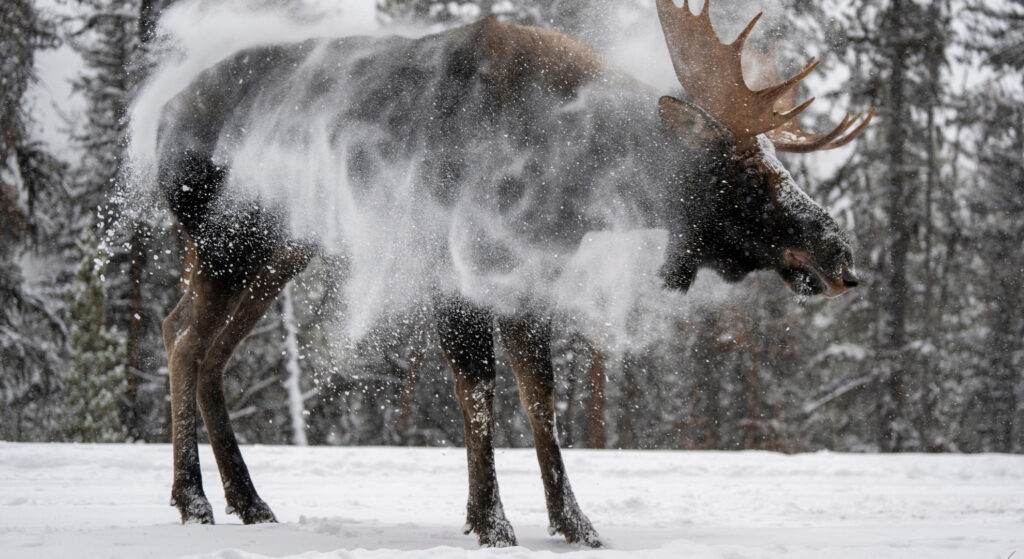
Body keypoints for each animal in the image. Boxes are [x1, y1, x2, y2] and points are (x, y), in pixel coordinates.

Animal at [151, 0, 871, 548]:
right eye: (747, 171)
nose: (843, 259)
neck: (575, 181)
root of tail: (156, 124)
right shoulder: (451, 262)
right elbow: (478, 388)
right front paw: (491, 522)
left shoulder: (527, 274)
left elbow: (540, 393)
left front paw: (574, 522)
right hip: (228, 237)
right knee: (183, 337)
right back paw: (193, 499)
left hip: (279, 249)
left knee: (202, 343)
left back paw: (249, 500)